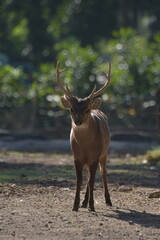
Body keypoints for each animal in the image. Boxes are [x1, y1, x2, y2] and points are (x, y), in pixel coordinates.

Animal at [56, 61, 112, 211]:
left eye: (87, 110)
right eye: (71, 109)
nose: (78, 121)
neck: (86, 145)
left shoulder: (96, 155)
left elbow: (92, 180)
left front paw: (92, 206)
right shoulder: (76, 155)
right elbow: (80, 180)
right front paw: (75, 205)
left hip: (105, 152)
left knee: (103, 172)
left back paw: (108, 201)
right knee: (87, 176)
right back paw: (84, 202)